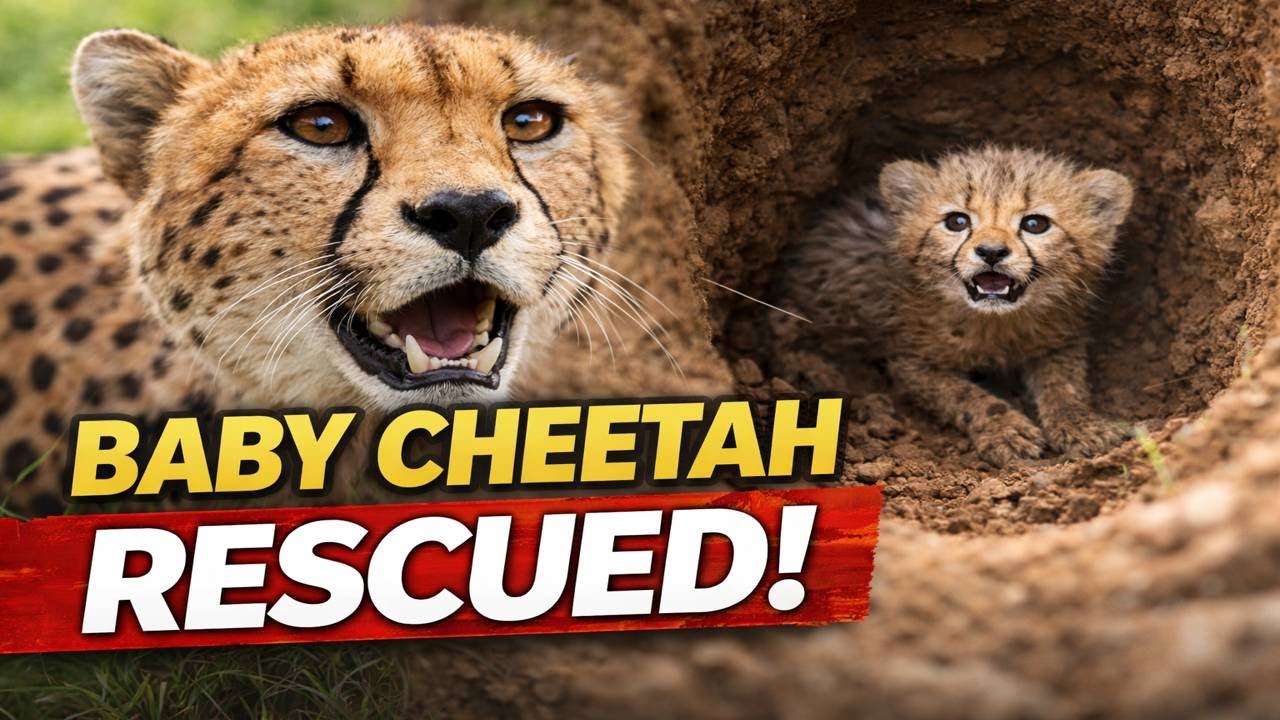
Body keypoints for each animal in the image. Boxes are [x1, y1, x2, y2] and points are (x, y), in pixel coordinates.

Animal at [776, 146, 1133, 467]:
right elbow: (963, 395)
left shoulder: (1059, 339)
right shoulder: (911, 362)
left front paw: (1081, 424)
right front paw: (1006, 429)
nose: (991, 251)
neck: (996, 323)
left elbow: (1066, 384)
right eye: (957, 221)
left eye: (1035, 224)